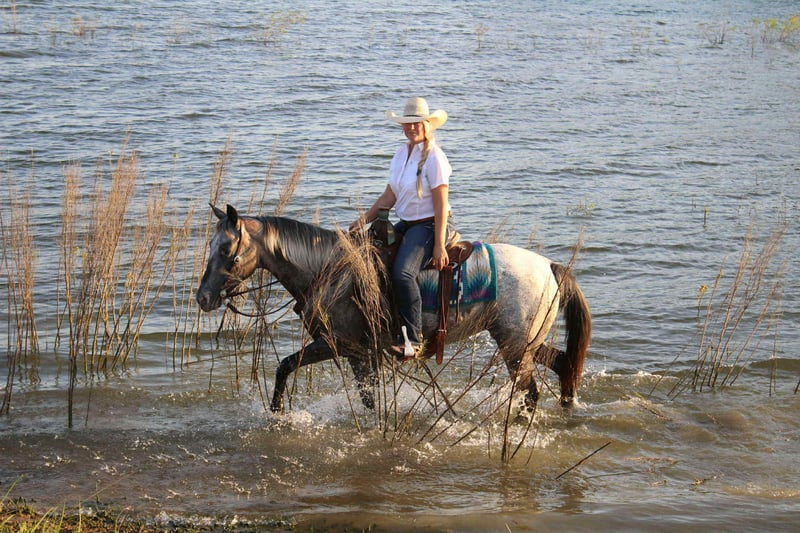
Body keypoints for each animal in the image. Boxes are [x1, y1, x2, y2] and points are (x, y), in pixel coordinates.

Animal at [196, 204, 591, 413]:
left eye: (227, 251)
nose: (202, 298)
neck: (328, 269)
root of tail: (549, 267)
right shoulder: (356, 352)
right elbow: (363, 395)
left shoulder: (342, 346)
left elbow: (289, 367)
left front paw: (279, 413)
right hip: (523, 343)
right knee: (561, 364)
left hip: (514, 347)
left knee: (530, 392)